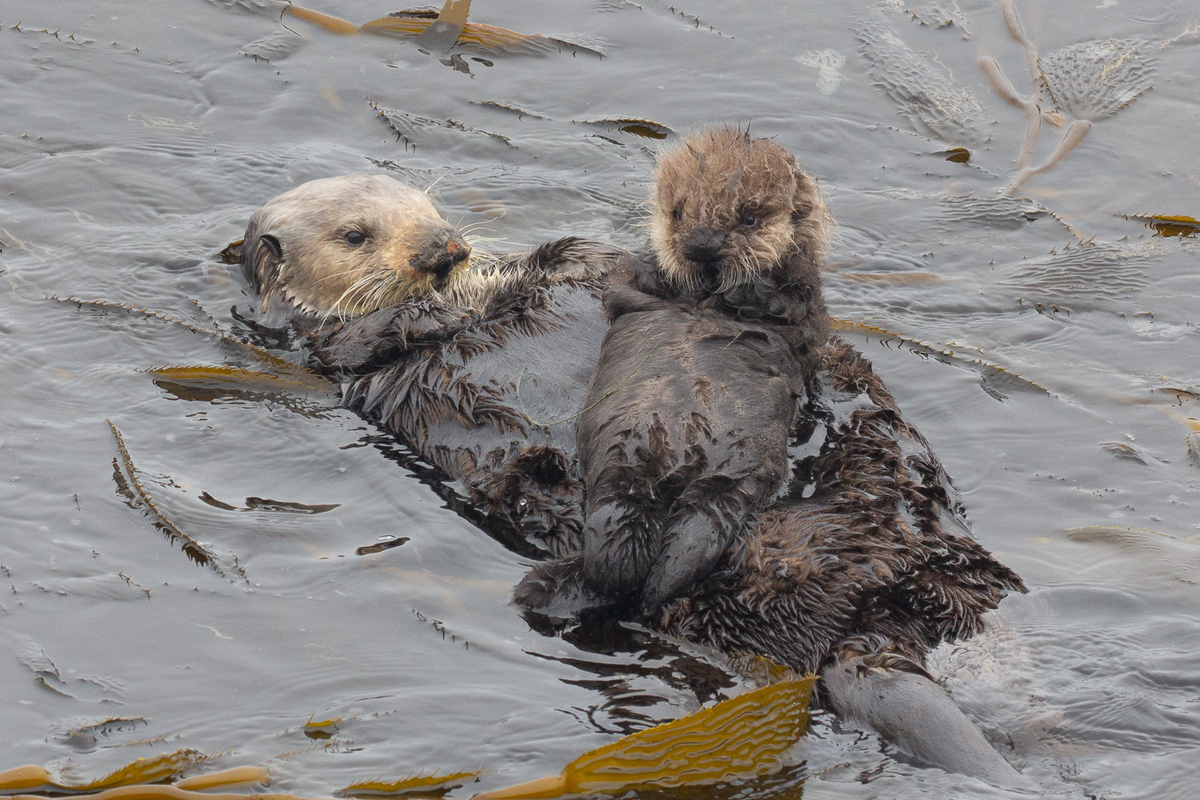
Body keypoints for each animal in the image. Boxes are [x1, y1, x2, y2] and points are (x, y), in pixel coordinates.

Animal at [241, 163, 1030, 786]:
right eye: (355, 234)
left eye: (427, 208)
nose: (445, 251)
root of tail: (874, 605)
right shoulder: (326, 350)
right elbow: (363, 338)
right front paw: (434, 313)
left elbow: (575, 256)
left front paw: (560, 262)